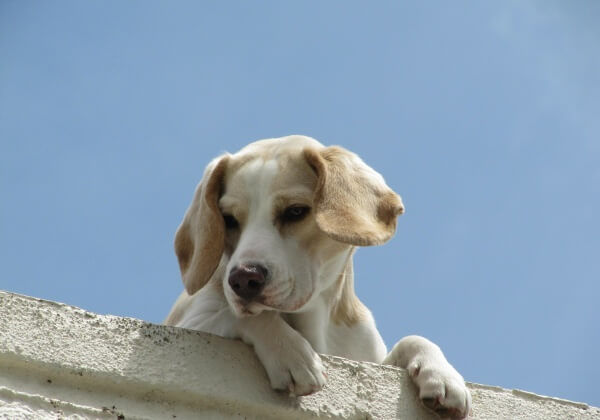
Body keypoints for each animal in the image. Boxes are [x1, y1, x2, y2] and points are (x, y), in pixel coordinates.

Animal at [165, 136, 474, 418]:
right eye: (228, 219)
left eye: (295, 211)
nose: (243, 279)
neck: (317, 321)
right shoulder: (191, 322)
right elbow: (241, 315)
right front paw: (291, 353)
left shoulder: (367, 356)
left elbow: (413, 338)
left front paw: (441, 374)